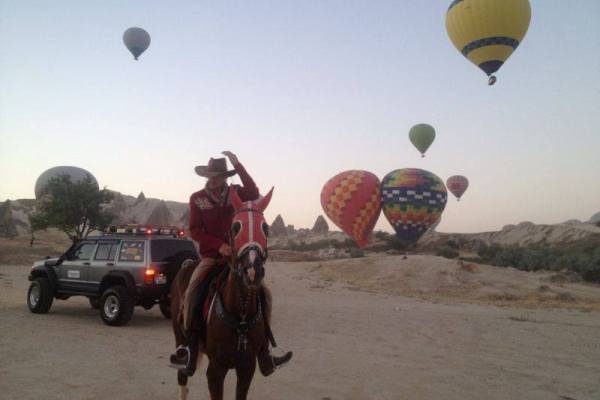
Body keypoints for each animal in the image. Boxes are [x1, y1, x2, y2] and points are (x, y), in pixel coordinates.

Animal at [171, 188, 276, 400]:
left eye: (265, 228)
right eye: (235, 227)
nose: (252, 271)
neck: (240, 312)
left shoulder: (247, 368)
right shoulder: (215, 370)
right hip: (180, 339)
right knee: (182, 378)